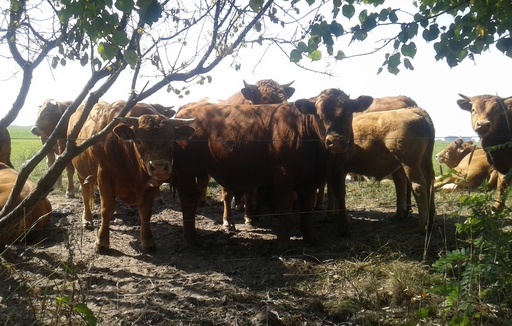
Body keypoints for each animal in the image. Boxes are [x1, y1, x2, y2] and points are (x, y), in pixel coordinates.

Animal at [73, 100, 197, 253]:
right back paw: (87, 220)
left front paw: (147, 241)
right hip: (82, 174)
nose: (159, 167)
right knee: (86, 195)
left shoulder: (151, 184)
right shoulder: (104, 177)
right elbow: (106, 209)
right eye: (139, 141)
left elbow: (145, 212)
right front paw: (102, 242)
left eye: (171, 140)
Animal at [173, 88, 372, 248]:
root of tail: (185, 112)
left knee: (197, 195)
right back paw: (192, 239)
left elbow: (306, 208)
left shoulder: (310, 180)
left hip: (201, 171)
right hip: (187, 169)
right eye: (318, 114)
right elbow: (284, 206)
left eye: (349, 112)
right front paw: (283, 242)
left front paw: (309, 238)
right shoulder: (284, 175)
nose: (335, 141)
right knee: (188, 197)